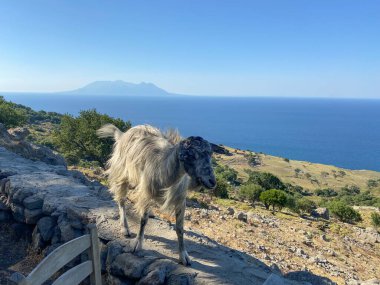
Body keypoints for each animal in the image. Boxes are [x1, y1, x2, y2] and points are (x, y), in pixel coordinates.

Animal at [96, 123, 215, 264]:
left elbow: (180, 228)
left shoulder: (180, 199)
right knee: (121, 200)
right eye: (191, 155)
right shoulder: (146, 192)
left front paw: (184, 256)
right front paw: (137, 244)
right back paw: (125, 228)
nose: (212, 181)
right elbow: (143, 220)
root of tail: (122, 134)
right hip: (122, 173)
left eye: (209, 155)